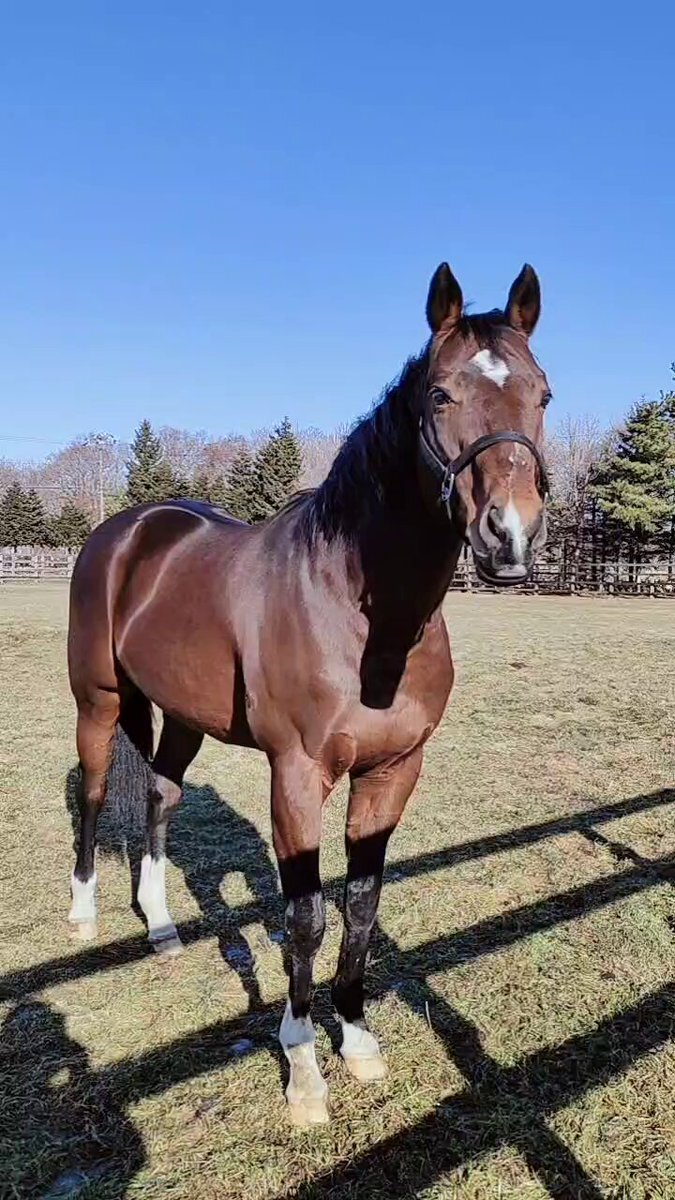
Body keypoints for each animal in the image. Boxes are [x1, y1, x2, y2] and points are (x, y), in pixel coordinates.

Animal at [67, 261, 550, 1126]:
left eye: (543, 394)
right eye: (439, 394)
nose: (510, 535)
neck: (360, 610)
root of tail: (127, 530)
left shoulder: (392, 772)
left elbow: (361, 904)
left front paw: (355, 1040)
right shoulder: (295, 776)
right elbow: (304, 916)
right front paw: (301, 1069)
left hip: (182, 717)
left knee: (158, 796)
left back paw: (161, 926)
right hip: (98, 701)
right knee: (93, 795)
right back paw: (85, 913)